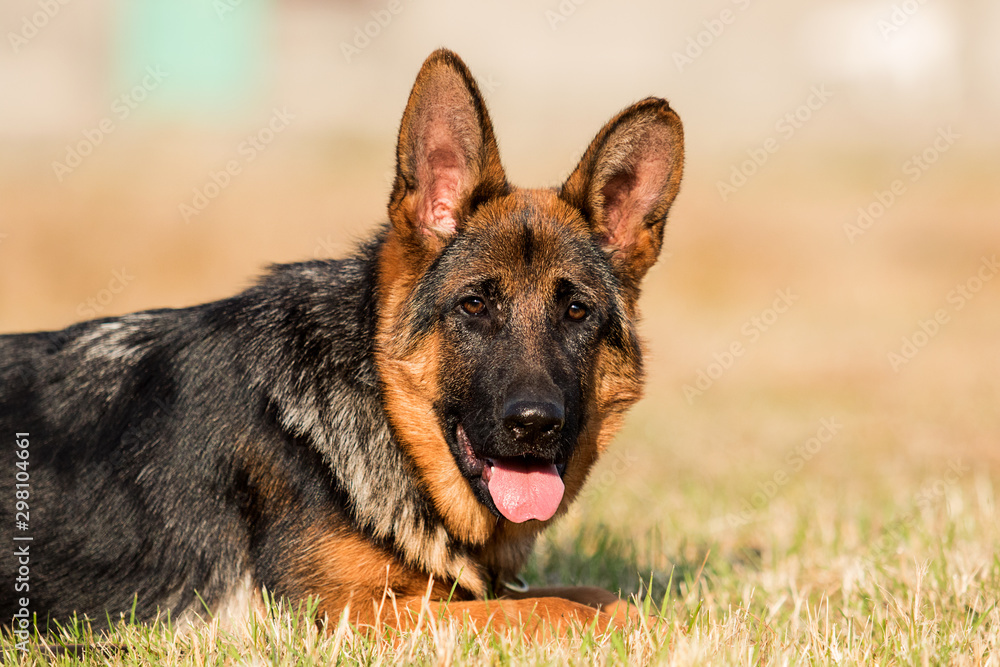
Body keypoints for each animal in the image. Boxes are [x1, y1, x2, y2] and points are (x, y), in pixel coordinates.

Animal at [0, 49, 684, 636]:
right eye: (474, 306)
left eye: (576, 311)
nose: (536, 424)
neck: (382, 412)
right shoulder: (349, 612)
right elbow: (551, 609)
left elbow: (600, 595)